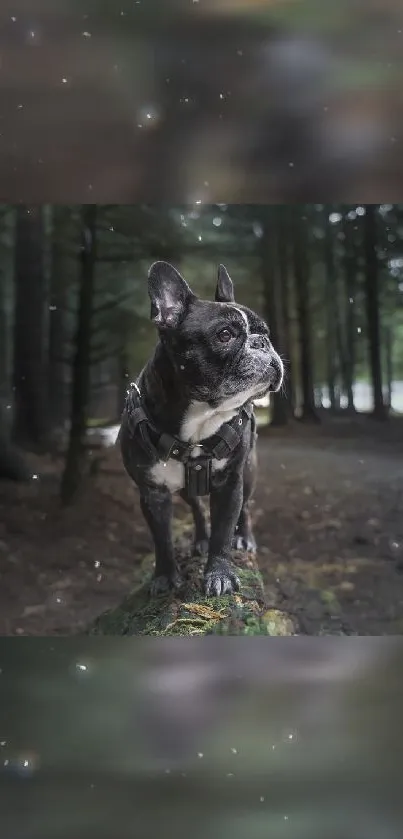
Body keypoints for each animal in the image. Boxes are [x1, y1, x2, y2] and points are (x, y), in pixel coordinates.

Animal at [120, 262, 284, 596]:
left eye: (265, 332)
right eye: (225, 335)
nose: (262, 342)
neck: (200, 420)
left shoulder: (230, 483)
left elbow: (224, 530)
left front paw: (220, 574)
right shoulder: (152, 493)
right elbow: (162, 539)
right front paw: (165, 576)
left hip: (249, 469)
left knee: (246, 507)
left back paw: (243, 538)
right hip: (185, 489)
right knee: (196, 507)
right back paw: (200, 539)